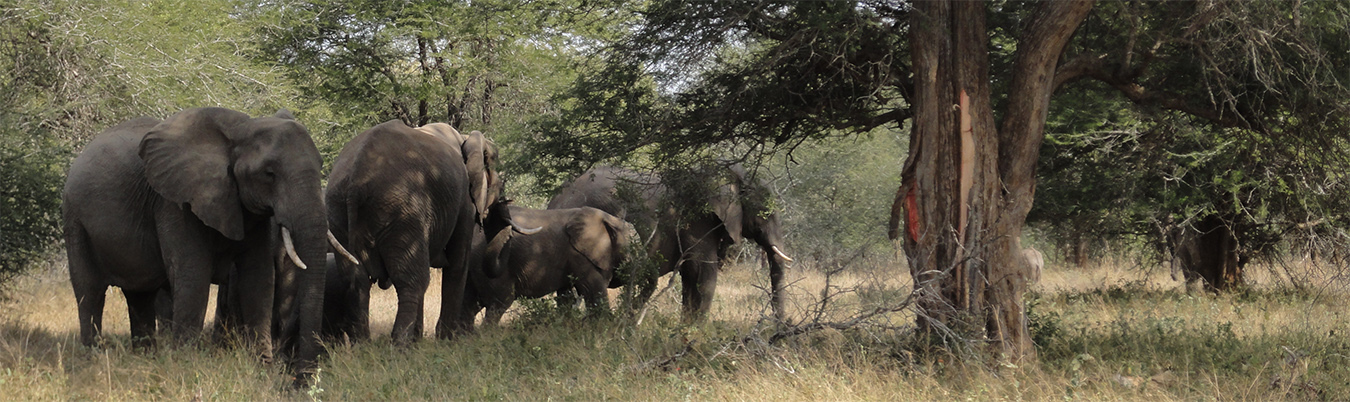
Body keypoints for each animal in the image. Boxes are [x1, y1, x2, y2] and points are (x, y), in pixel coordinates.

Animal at [62, 106, 340, 380]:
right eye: (269, 174)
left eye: (320, 165)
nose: (301, 380)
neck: (240, 129)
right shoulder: (174, 203)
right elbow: (193, 276)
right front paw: (186, 369)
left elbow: (258, 277)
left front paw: (263, 372)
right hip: (75, 221)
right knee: (90, 293)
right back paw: (92, 364)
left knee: (139, 296)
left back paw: (145, 361)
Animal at [324, 120, 529, 343]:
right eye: (500, 183)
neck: (466, 138)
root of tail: (356, 180)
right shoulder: (463, 199)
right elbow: (458, 262)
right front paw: (447, 340)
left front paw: (421, 340)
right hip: (403, 210)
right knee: (413, 281)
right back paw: (400, 346)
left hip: (338, 212)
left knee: (356, 280)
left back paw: (364, 346)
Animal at [461, 203, 634, 326]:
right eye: (630, 246)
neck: (607, 219)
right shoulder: (579, 256)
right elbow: (594, 289)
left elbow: (566, 296)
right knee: (498, 303)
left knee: (469, 306)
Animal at [548, 163, 793, 319]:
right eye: (765, 212)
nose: (780, 327)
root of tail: (556, 200)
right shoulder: (696, 220)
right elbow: (703, 273)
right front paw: (695, 335)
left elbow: (690, 276)